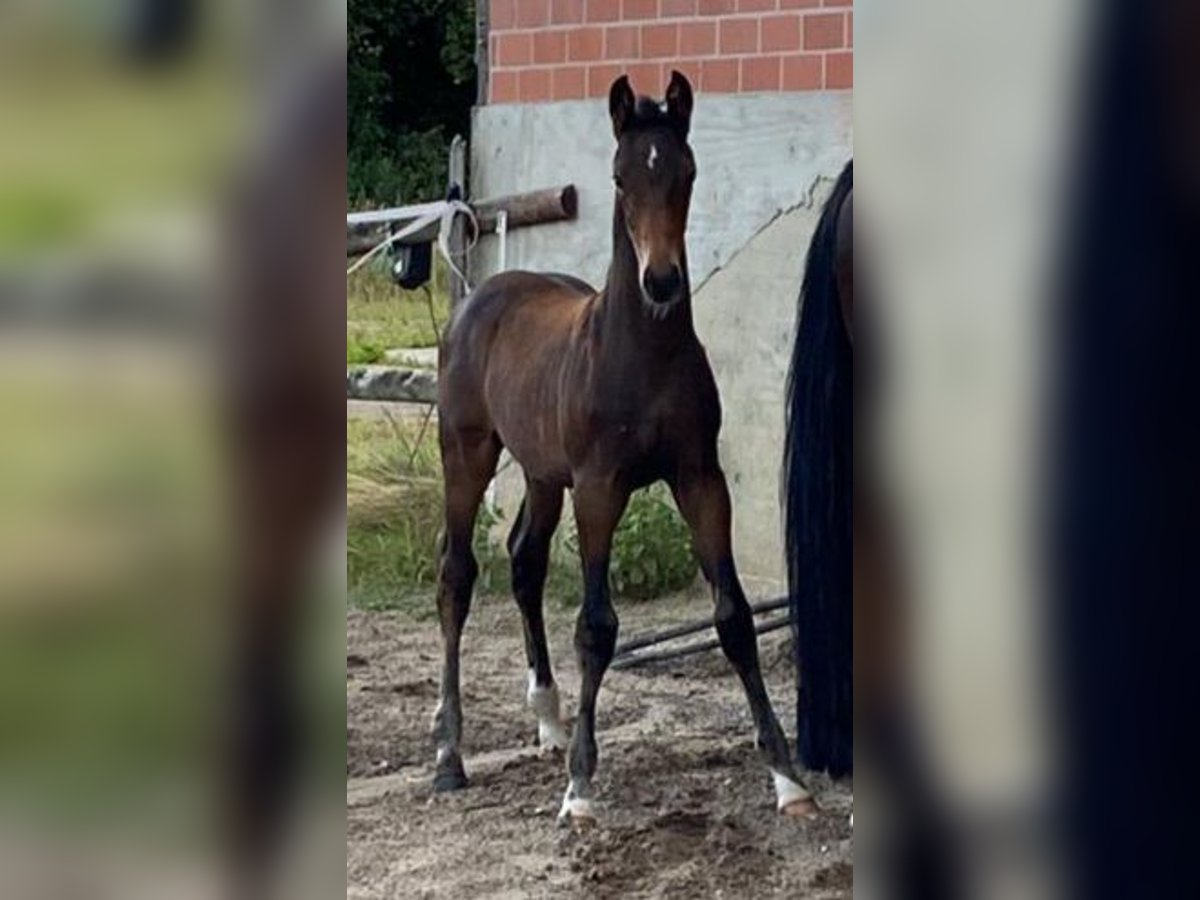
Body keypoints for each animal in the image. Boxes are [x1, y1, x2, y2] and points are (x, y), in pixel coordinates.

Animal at [432, 70, 816, 825]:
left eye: (687, 171)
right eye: (618, 175)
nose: (661, 281)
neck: (641, 355)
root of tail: (479, 297)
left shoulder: (700, 478)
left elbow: (733, 617)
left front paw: (787, 778)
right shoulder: (600, 487)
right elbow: (596, 626)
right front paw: (580, 788)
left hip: (543, 474)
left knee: (523, 562)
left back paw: (547, 721)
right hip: (468, 455)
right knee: (457, 577)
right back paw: (450, 756)